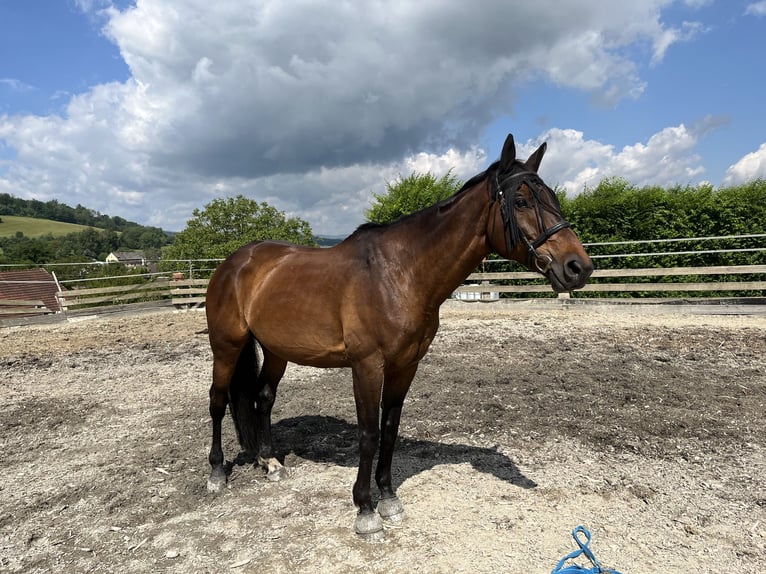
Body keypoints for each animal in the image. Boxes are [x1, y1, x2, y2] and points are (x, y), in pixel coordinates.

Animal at [204, 134, 592, 540]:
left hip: (277, 349)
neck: (399, 274)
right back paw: (216, 474)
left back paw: (270, 463)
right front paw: (365, 510)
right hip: (226, 346)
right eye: (521, 202)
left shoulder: (405, 365)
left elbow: (389, 430)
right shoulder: (367, 366)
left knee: (263, 398)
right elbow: (369, 434)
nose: (578, 267)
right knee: (217, 401)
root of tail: (234, 263)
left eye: (553, 199)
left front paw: (388, 498)